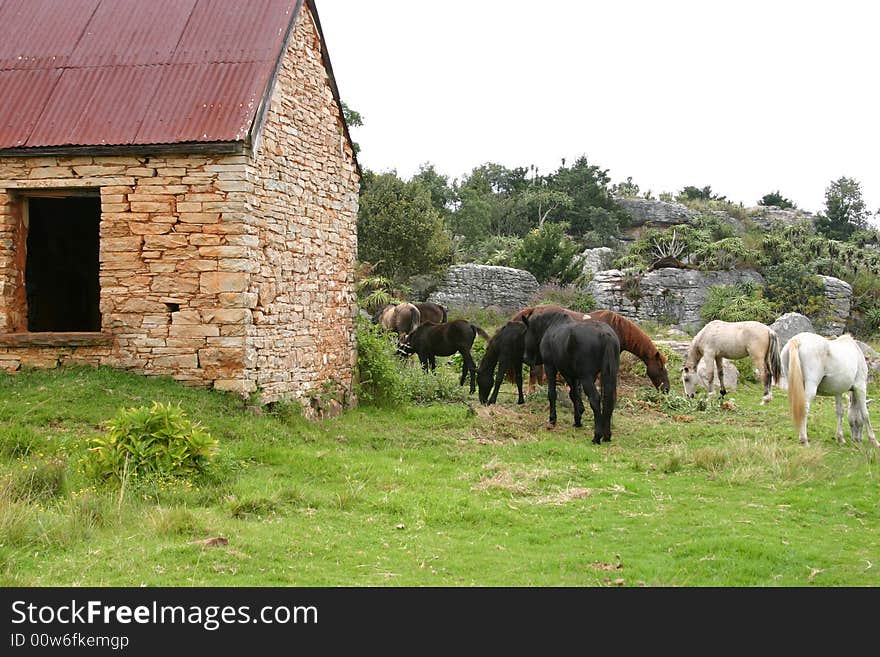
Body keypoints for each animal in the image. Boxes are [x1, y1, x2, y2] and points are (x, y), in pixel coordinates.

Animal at [520, 310, 624, 444]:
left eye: (526, 333)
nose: (526, 358)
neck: (551, 325)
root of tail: (605, 334)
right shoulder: (573, 375)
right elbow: (575, 395)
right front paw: (578, 420)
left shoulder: (550, 367)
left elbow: (552, 393)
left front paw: (552, 419)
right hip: (609, 375)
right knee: (610, 400)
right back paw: (607, 435)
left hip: (587, 378)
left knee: (595, 399)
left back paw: (597, 436)